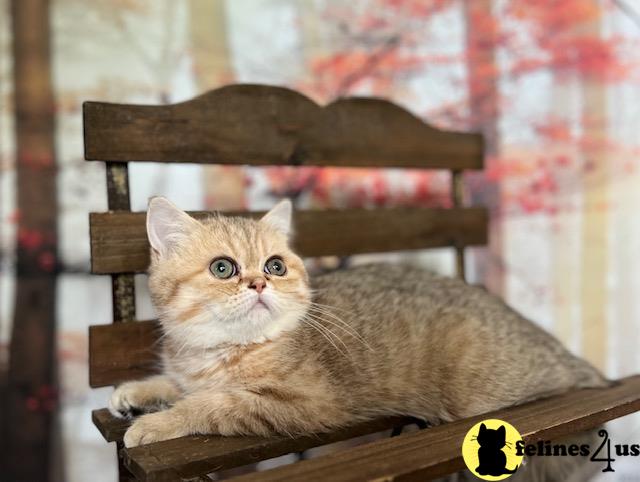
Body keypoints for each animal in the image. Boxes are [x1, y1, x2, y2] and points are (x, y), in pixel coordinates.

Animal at [111, 196, 608, 478]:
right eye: (221, 268)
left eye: (275, 265)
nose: (259, 284)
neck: (221, 349)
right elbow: (176, 384)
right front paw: (136, 392)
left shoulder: (303, 403)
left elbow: (209, 404)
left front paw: (155, 424)